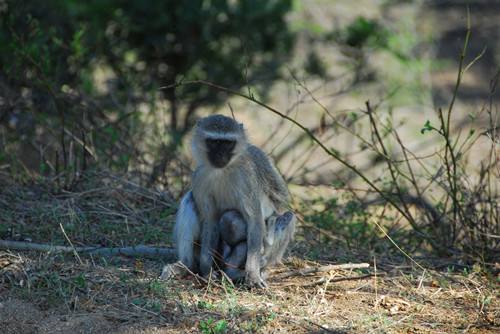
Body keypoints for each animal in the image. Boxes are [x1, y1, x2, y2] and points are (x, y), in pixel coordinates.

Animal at [174, 115, 294, 288]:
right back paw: (185, 265)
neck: (222, 171)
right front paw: (207, 272)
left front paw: (253, 274)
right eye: (214, 142)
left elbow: (257, 218)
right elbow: (210, 220)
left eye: (227, 143)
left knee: (287, 217)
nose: (220, 155)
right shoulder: (199, 177)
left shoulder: (247, 176)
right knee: (191, 200)